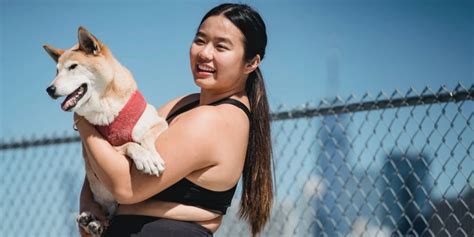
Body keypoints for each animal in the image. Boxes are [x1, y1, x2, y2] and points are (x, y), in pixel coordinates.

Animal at [43, 26, 168, 236]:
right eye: (57, 71)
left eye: (73, 67)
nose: (49, 89)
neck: (107, 106)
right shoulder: (104, 152)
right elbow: (130, 144)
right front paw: (145, 157)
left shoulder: (159, 122)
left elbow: (147, 136)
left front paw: (150, 154)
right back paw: (92, 222)